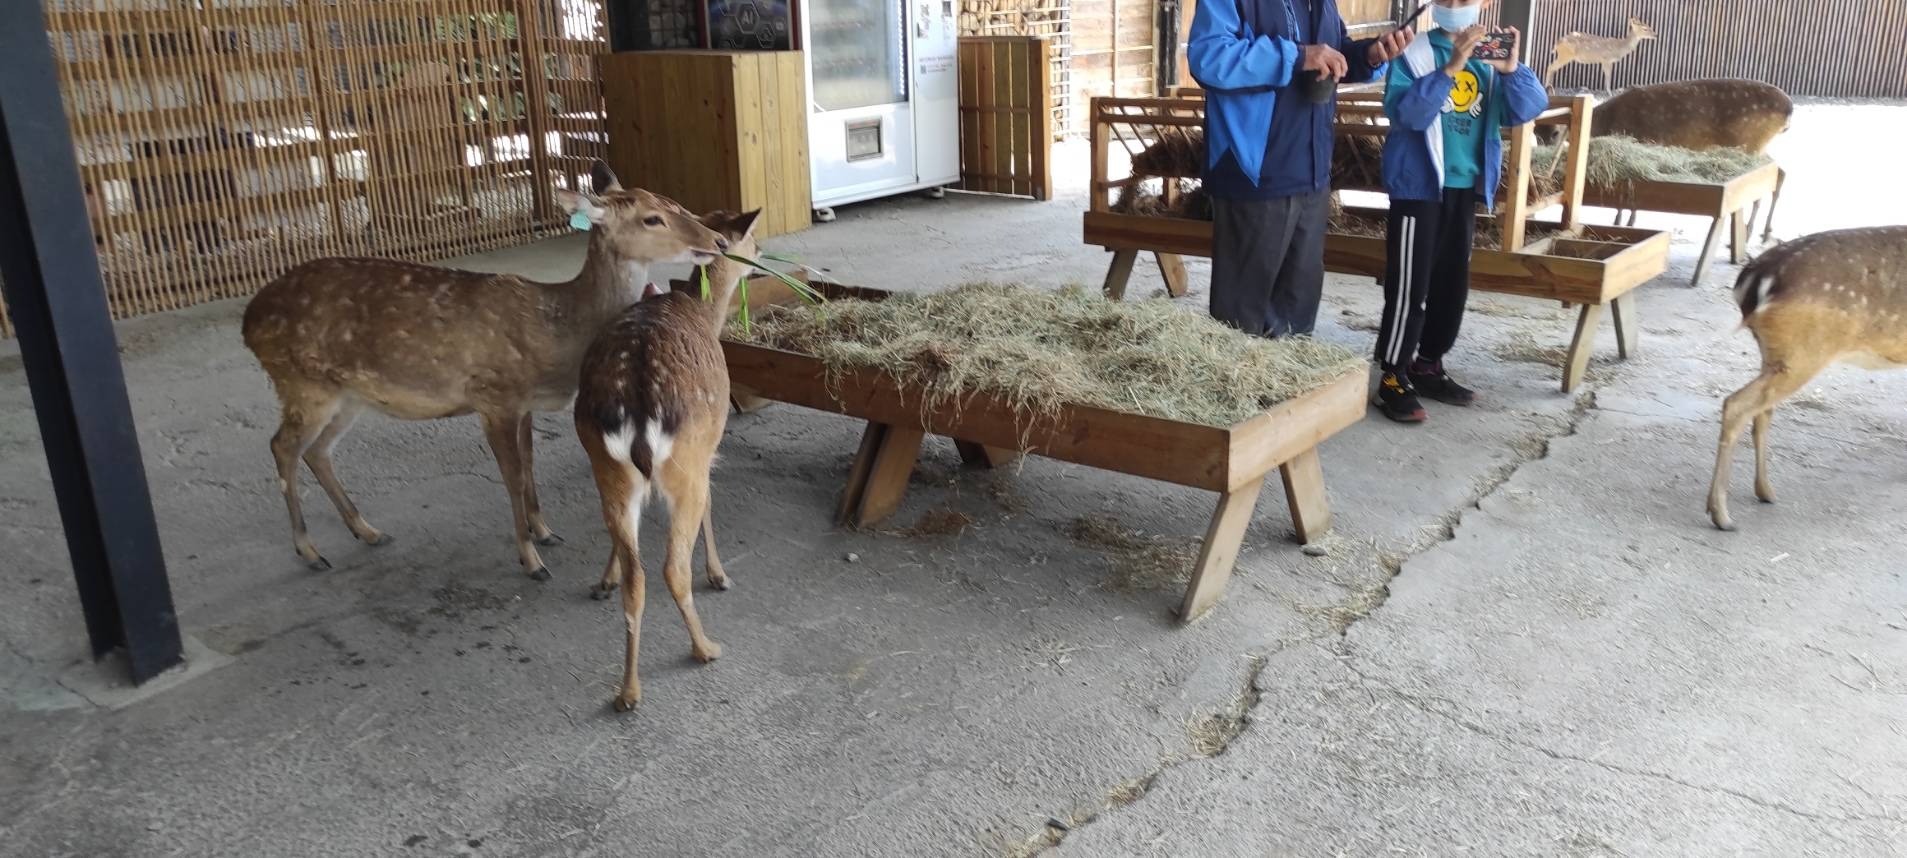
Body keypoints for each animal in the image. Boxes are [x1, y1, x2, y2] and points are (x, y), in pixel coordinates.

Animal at [246, 163, 728, 575]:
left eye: (673, 202)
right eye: (652, 219)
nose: (718, 241)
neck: (559, 330)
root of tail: (249, 321)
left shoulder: (524, 402)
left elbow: (529, 465)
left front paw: (545, 531)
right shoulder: (495, 395)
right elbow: (512, 476)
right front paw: (531, 559)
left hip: (347, 394)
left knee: (316, 451)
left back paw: (367, 531)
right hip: (303, 383)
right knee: (282, 446)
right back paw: (310, 551)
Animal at [568, 205, 762, 709]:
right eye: (754, 243)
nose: (760, 260)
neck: (704, 312)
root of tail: (636, 408)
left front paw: (603, 579)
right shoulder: (710, 445)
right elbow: (712, 503)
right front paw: (719, 574)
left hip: (607, 466)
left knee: (637, 577)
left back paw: (627, 690)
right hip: (684, 463)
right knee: (672, 567)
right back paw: (705, 647)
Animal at [1708, 224, 1907, 530]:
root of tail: (1754, 280)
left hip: (1776, 354)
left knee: (1761, 411)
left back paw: (1765, 491)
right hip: (1805, 351)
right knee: (1737, 404)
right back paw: (1721, 514)